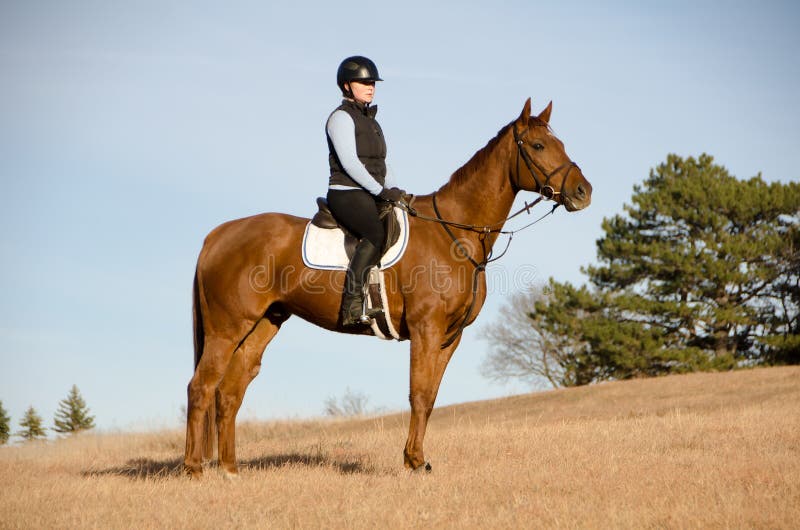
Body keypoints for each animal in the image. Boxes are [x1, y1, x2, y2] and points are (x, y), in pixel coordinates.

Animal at [184, 99, 592, 474]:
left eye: (560, 142)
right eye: (537, 145)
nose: (583, 191)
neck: (453, 233)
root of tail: (217, 234)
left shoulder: (450, 337)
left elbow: (431, 397)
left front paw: (417, 459)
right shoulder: (427, 329)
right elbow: (419, 394)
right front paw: (414, 461)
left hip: (262, 325)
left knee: (230, 392)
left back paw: (230, 470)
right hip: (226, 329)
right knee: (201, 387)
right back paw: (194, 469)